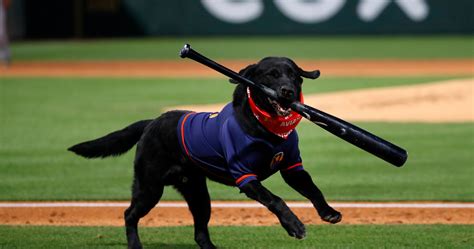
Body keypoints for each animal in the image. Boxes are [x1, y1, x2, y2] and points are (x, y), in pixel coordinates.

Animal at [68, 57, 340, 249]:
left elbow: (313, 190)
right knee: (129, 214)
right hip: (149, 187)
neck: (267, 130)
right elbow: (276, 200)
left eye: (294, 76)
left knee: (200, 232)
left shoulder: (292, 167)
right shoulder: (246, 177)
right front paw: (295, 226)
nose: (287, 91)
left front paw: (328, 212)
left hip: (198, 194)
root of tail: (152, 121)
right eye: (271, 75)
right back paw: (135, 245)